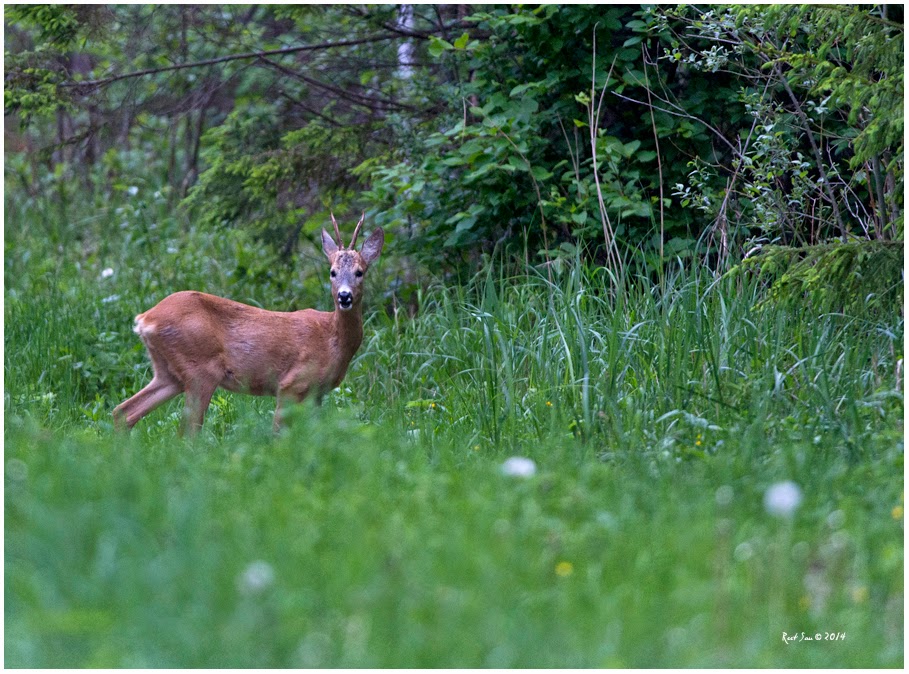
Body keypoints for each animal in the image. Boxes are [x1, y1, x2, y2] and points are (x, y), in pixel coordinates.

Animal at [113, 213, 384, 434]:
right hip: (200, 369)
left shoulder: (317, 392)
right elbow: (278, 434)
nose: (344, 296)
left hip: (168, 372)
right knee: (187, 431)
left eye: (360, 272)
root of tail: (145, 319)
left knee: (123, 412)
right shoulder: (290, 384)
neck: (332, 339)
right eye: (332, 272)